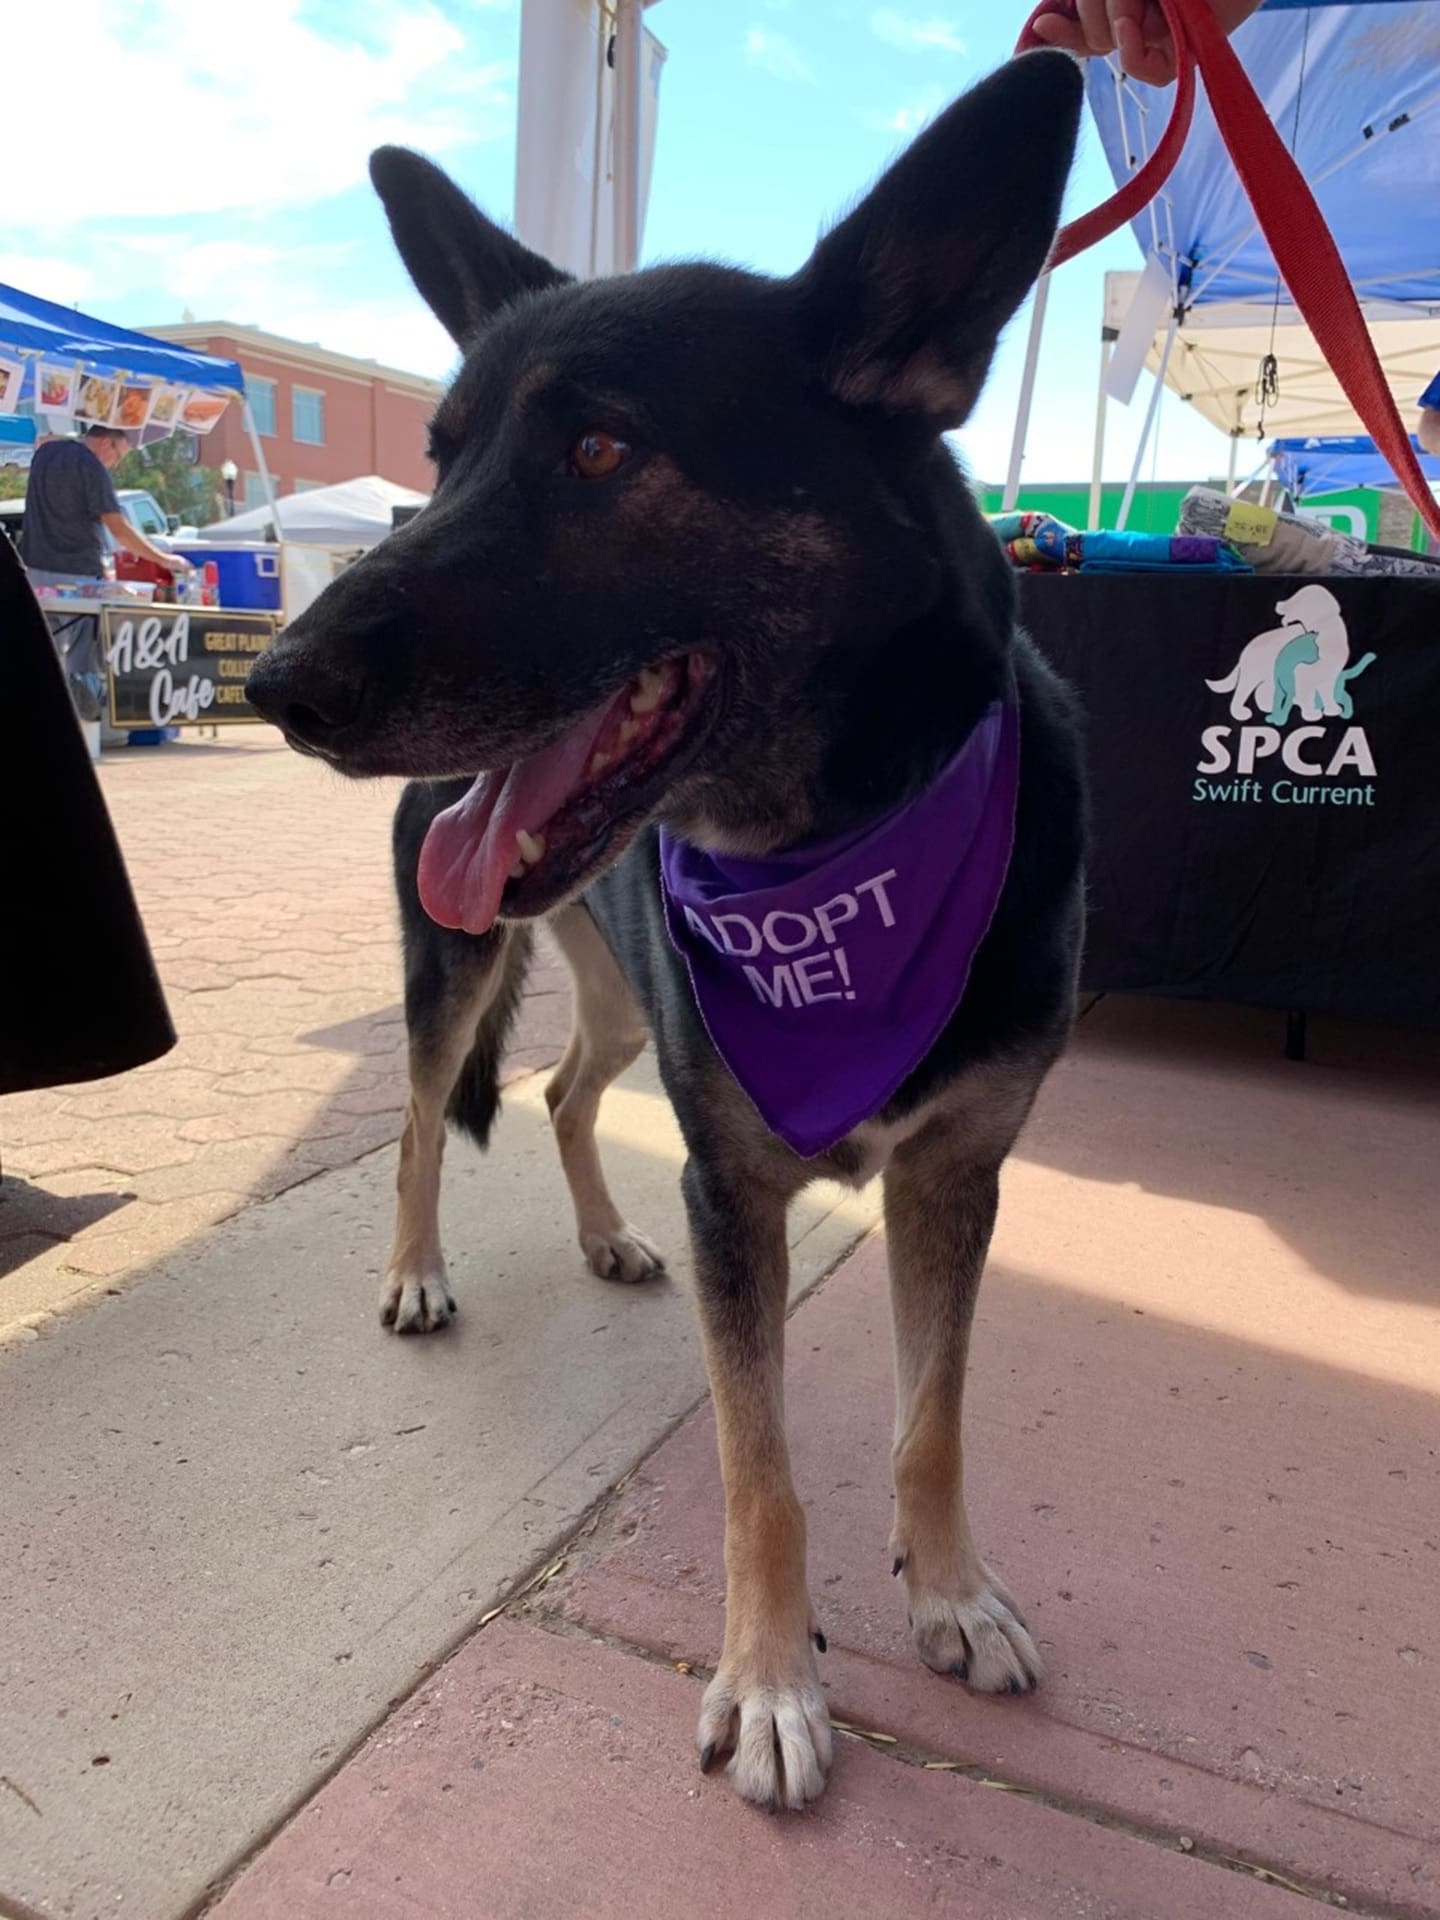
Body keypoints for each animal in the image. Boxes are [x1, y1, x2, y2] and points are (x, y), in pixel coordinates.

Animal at [245, 48, 1082, 1812]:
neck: (832, 849)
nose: (276, 686)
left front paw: (951, 1591)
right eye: (441, 455)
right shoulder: (732, 1188)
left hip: (624, 993)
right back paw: (416, 1275)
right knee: (420, 1117)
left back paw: (601, 1233)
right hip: (461, 963)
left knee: (566, 1088)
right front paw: (769, 1681)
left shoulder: (958, 1176)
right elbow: (760, 1465)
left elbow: (931, 1417)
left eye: (599, 453)